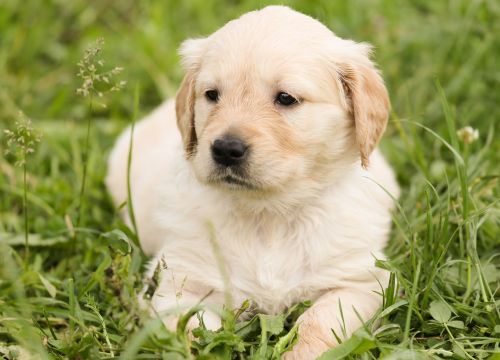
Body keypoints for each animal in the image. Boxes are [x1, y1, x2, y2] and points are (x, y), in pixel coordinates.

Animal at [105, 4, 398, 358]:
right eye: (212, 95)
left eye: (286, 98)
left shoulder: (360, 281)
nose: (225, 149)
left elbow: (319, 323)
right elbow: (193, 331)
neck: (269, 215)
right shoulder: (175, 282)